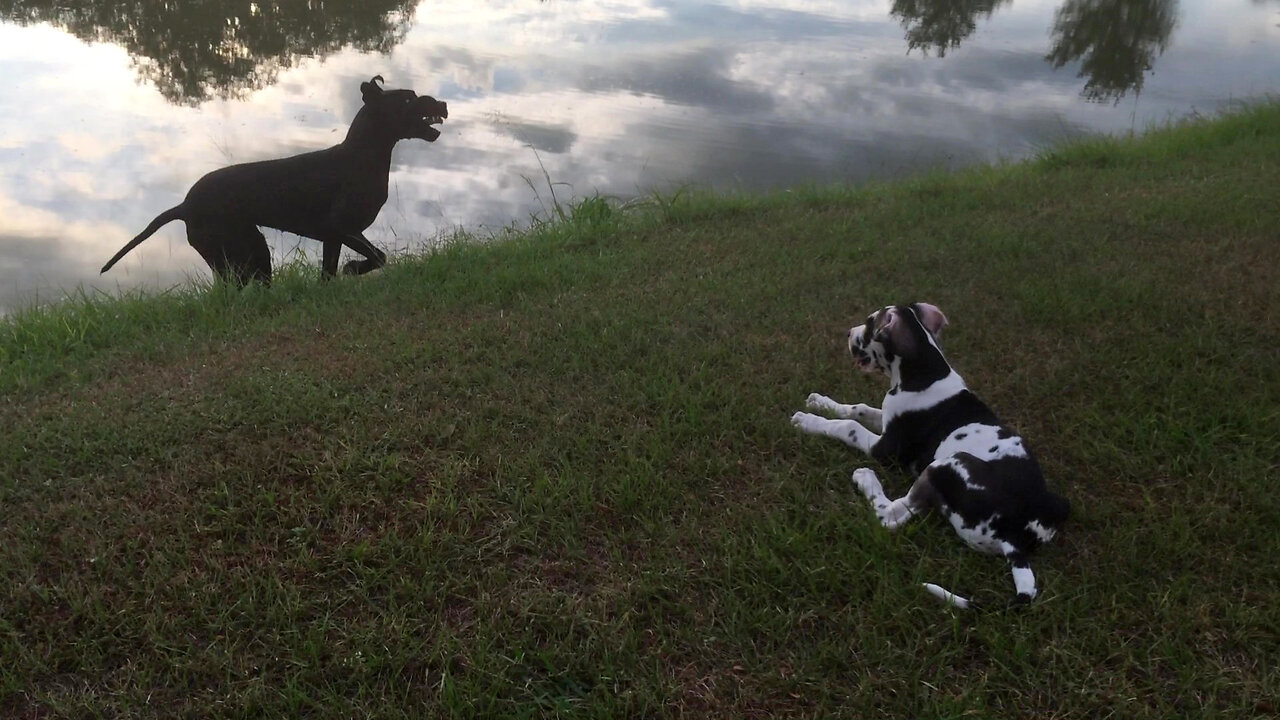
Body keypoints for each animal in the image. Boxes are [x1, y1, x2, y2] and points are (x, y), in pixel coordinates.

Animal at [788, 298, 1070, 604]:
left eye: (869, 323)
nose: (848, 333)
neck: (924, 374)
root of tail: (1018, 539)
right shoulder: (888, 419)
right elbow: (858, 408)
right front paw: (820, 401)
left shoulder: (885, 447)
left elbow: (849, 425)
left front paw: (809, 420)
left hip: (947, 463)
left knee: (891, 516)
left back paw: (866, 479)